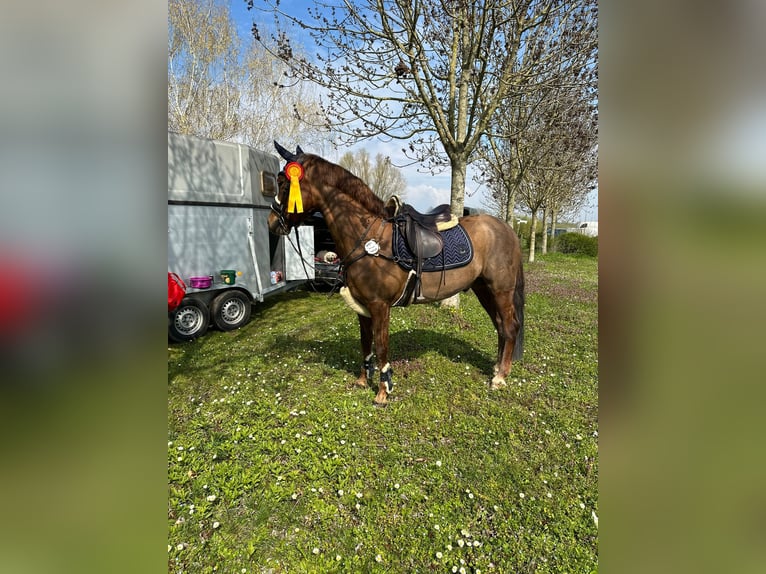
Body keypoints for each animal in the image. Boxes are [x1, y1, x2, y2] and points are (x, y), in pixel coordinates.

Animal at [268, 142, 525, 406]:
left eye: (283, 183)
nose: (272, 222)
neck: (367, 238)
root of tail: (507, 229)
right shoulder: (362, 307)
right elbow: (365, 343)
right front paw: (363, 380)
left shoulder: (380, 305)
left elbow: (381, 346)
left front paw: (383, 391)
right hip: (483, 288)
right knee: (500, 326)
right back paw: (496, 369)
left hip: (501, 290)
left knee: (510, 326)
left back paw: (500, 377)